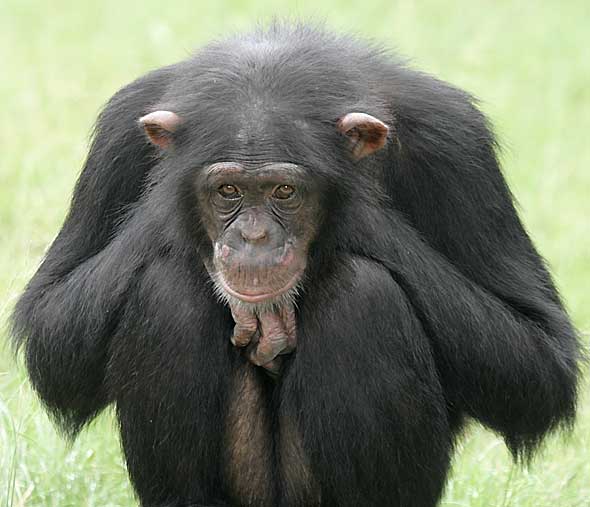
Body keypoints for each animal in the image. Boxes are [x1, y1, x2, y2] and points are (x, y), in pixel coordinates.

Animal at [10, 22, 584, 507]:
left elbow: (538, 360)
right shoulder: (118, 133)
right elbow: (52, 337)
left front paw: (354, 207)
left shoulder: (457, 143)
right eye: (228, 191)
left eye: (284, 192)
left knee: (363, 292)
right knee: (167, 290)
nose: (253, 237)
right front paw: (168, 204)